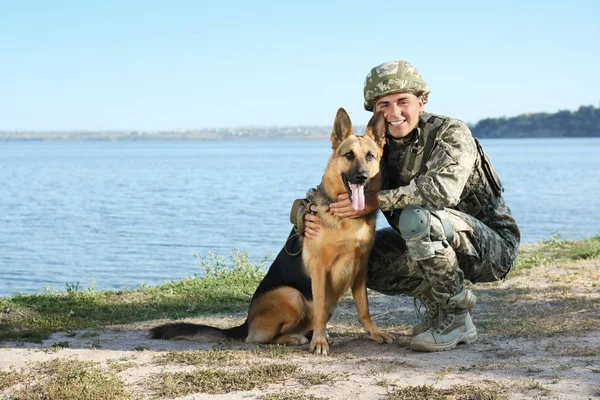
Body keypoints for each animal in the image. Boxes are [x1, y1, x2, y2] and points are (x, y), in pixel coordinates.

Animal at [151, 108, 394, 354]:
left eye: (370, 156)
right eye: (349, 155)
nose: (362, 176)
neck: (346, 217)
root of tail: (245, 324)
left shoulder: (360, 268)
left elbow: (363, 307)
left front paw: (373, 333)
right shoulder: (319, 268)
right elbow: (320, 310)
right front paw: (319, 342)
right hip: (291, 295)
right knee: (260, 338)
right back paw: (296, 338)